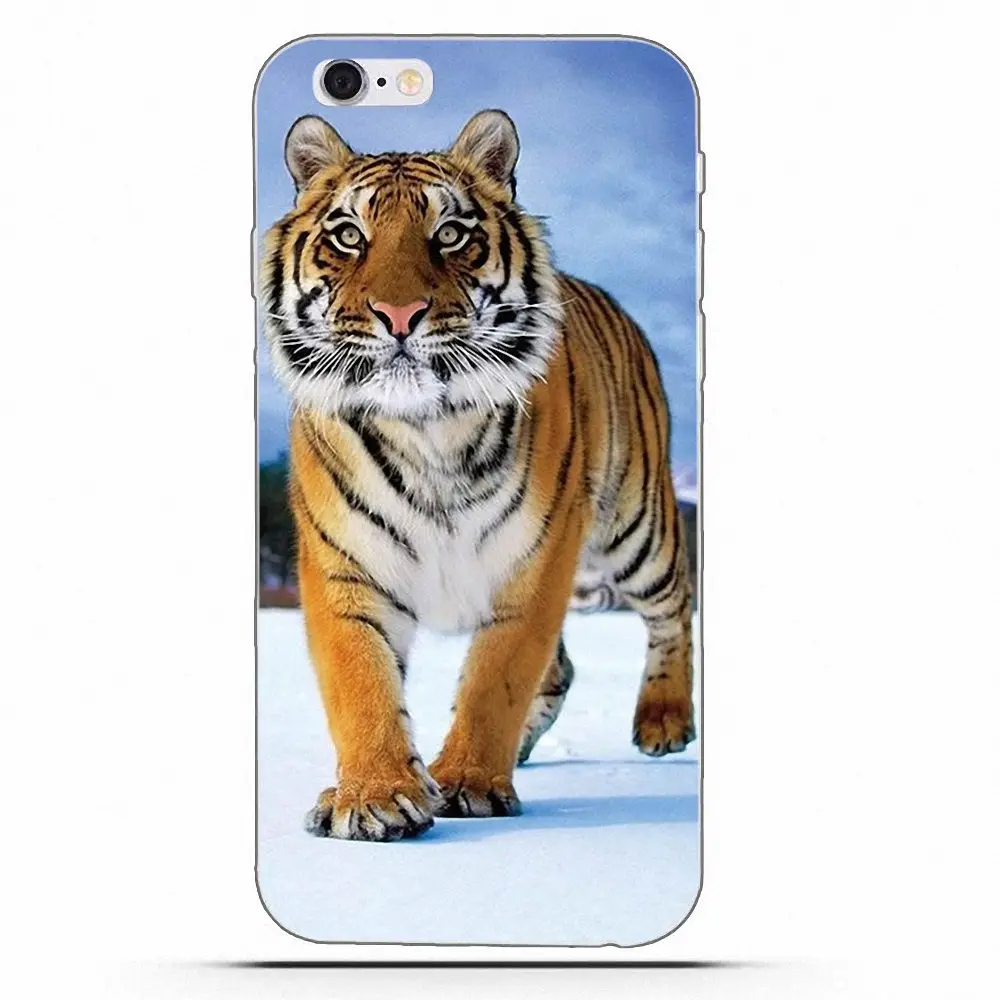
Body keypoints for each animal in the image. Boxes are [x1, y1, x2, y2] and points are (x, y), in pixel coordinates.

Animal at [261, 109, 695, 842]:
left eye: (450, 233)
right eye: (349, 236)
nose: (399, 316)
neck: (426, 429)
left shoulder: (534, 561)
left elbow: (498, 676)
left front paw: (467, 783)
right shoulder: (346, 566)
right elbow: (361, 681)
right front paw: (374, 795)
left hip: (638, 528)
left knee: (675, 605)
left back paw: (663, 721)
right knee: (563, 667)